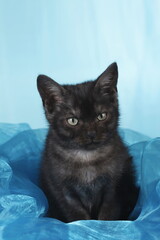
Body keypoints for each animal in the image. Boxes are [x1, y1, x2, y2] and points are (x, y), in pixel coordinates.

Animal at [37, 62, 138, 222]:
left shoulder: (114, 188)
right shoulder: (63, 191)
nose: (91, 134)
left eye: (101, 116)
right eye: (73, 120)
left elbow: (108, 213)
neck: (86, 158)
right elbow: (77, 214)